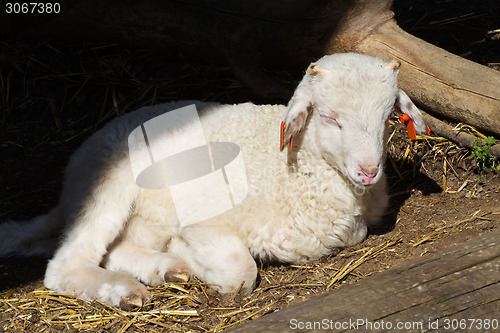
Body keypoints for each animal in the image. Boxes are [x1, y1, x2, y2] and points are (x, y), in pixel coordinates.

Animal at [1, 52, 428, 308]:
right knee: (65, 264)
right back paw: (127, 289)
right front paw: (192, 254)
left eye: (388, 116)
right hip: (110, 183)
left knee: (109, 249)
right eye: (330, 117)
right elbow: (240, 273)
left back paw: (165, 268)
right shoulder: (203, 217)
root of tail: (67, 192)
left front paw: (178, 258)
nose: (369, 170)